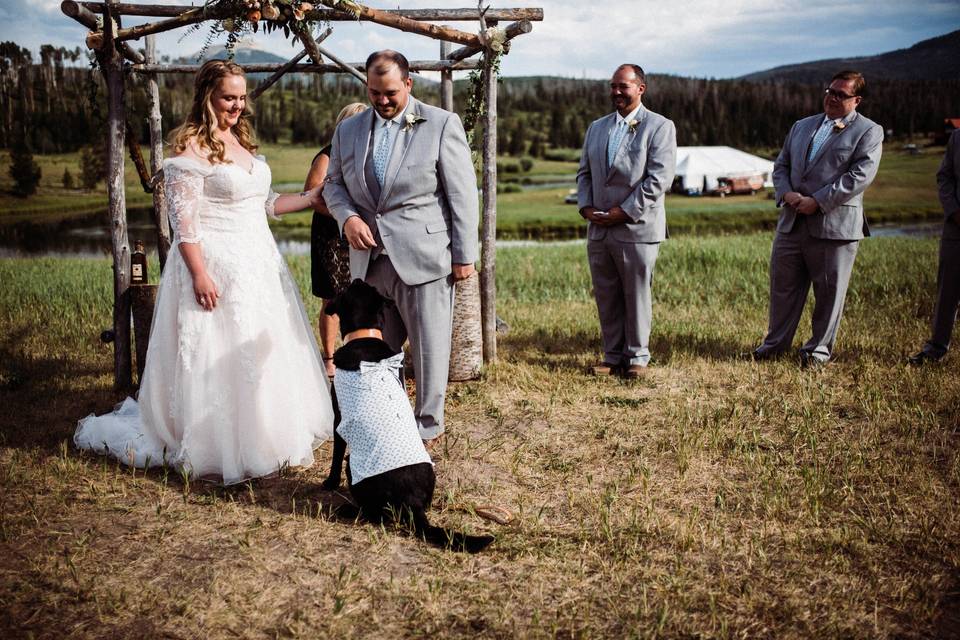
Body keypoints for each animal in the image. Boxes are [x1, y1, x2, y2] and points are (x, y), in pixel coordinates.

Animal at [322, 280, 496, 556]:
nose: (357, 278)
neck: (364, 336)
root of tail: (412, 501)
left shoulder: (339, 420)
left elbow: (335, 456)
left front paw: (329, 482)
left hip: (355, 467)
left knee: (373, 512)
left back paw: (348, 509)